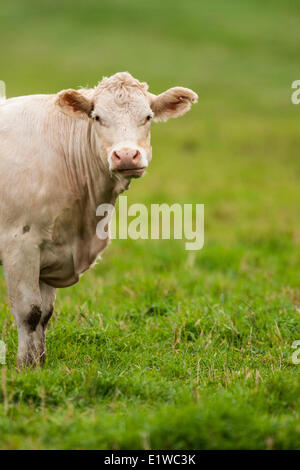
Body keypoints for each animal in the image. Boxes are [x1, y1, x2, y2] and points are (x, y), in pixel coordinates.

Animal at [0, 72, 197, 368]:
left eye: (148, 116)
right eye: (97, 117)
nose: (126, 155)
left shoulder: (52, 251)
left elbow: (45, 314)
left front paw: (40, 365)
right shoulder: (19, 244)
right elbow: (29, 312)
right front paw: (25, 367)